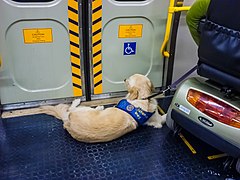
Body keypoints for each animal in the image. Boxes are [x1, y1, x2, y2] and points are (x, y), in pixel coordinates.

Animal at [39, 74, 167, 143]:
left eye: (128, 80)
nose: (124, 79)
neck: (144, 98)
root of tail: (67, 121)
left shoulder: (157, 121)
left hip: (84, 110)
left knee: (71, 108)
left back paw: (88, 104)